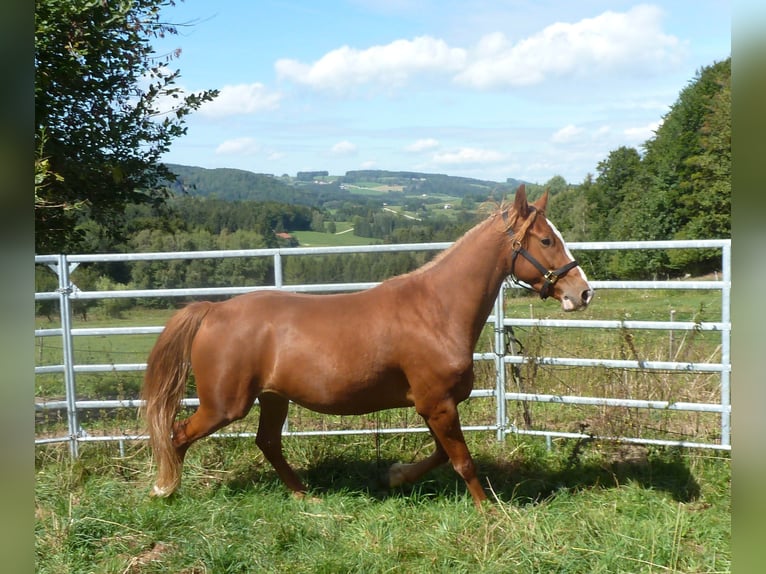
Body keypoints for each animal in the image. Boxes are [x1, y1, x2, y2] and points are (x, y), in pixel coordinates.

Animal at [141, 184, 593, 508]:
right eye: (547, 241)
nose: (583, 292)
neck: (436, 310)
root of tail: (212, 310)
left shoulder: (432, 405)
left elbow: (441, 455)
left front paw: (394, 476)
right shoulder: (438, 404)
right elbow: (462, 460)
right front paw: (489, 511)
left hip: (273, 398)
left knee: (267, 443)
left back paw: (305, 495)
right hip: (225, 405)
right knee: (178, 434)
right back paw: (164, 490)